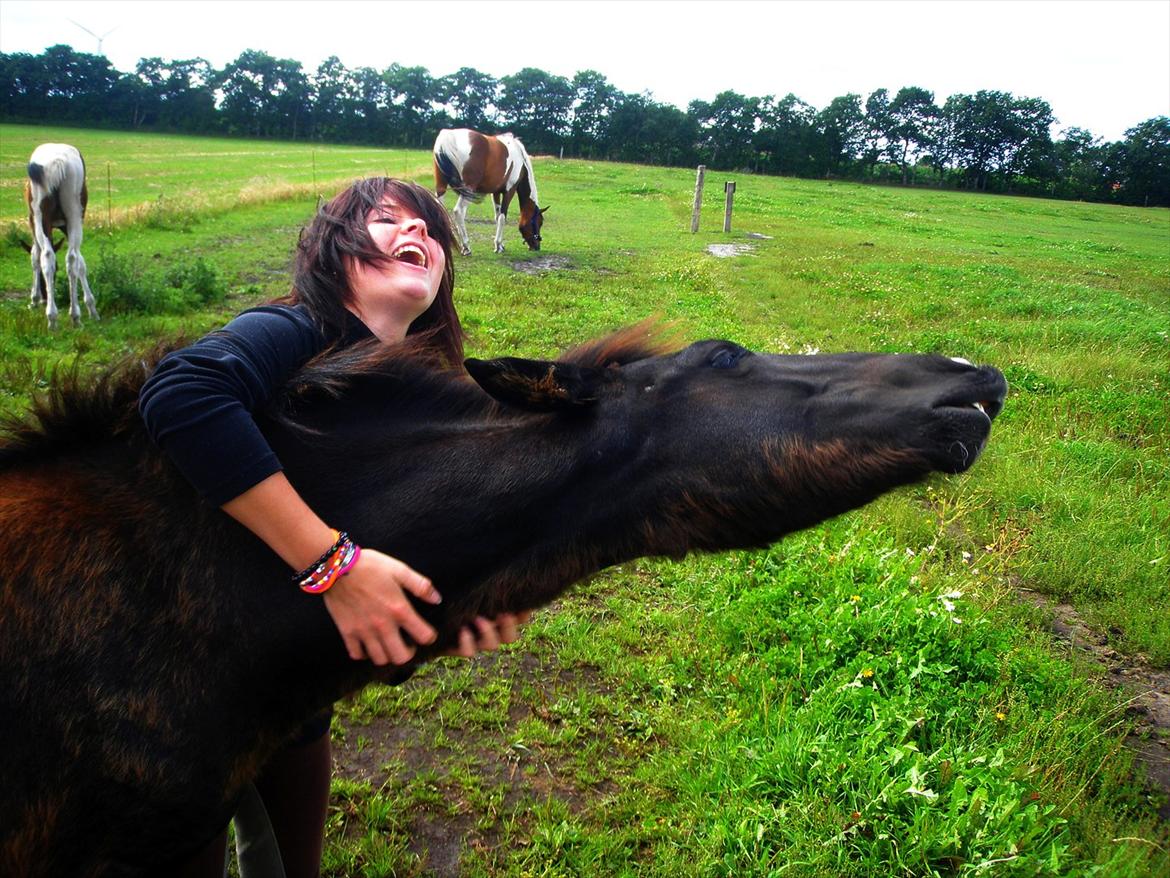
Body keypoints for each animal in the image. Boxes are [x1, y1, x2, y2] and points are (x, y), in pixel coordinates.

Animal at [24, 144, 98, 330]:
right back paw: (75, 316)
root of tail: (58, 162)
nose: (44, 297)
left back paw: (52, 317)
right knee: (72, 258)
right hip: (75, 216)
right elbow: (81, 263)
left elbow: (35, 257)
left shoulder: (32, 223)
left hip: (40, 219)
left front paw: (34, 299)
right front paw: (91, 307)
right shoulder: (66, 226)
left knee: (46, 257)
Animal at [432, 127, 545, 257]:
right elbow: (502, 217)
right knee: (458, 212)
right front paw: (498, 245)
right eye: (539, 222)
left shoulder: (495, 192)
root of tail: (448, 136)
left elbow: (497, 216)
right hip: (468, 189)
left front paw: (501, 245)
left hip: (441, 187)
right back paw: (466, 247)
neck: (520, 159)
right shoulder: (509, 191)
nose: (537, 246)